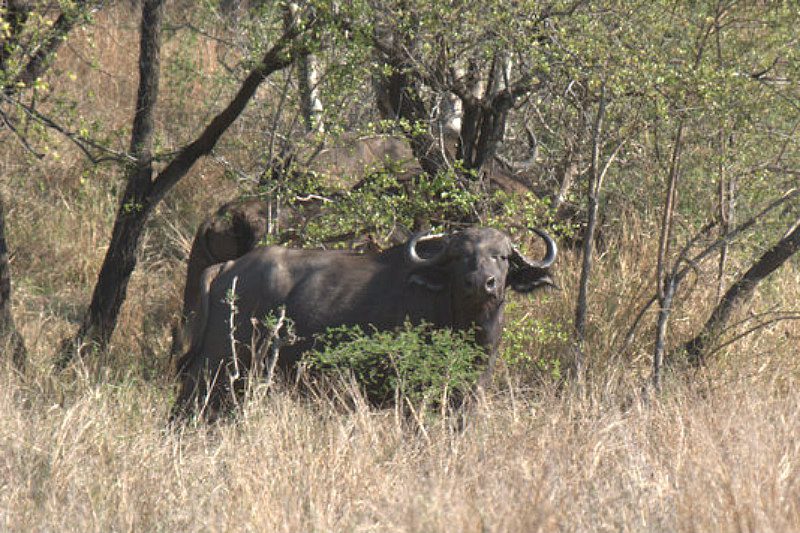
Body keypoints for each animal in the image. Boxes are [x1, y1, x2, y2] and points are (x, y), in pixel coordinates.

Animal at [173, 226, 557, 417]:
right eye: (462, 256)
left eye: (502, 256)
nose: (481, 283)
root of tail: (228, 268)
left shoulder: (471, 389)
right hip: (219, 363)